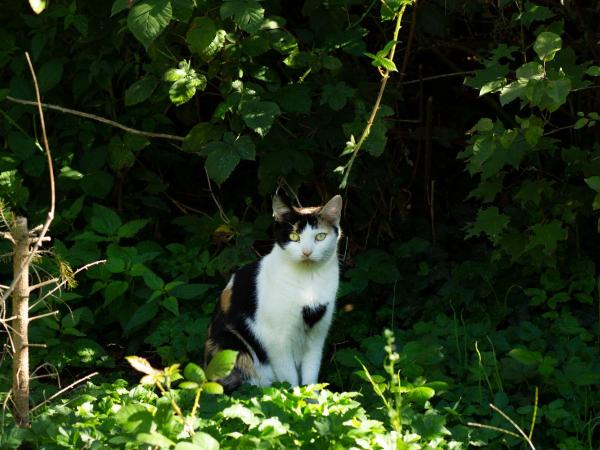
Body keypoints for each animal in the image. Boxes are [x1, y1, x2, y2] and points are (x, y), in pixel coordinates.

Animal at [204, 195, 342, 392]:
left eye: (320, 236)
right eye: (294, 237)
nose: (307, 252)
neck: (309, 281)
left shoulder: (317, 335)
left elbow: (311, 376)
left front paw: (312, 398)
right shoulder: (276, 340)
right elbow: (289, 378)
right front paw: (293, 397)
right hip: (230, 344)